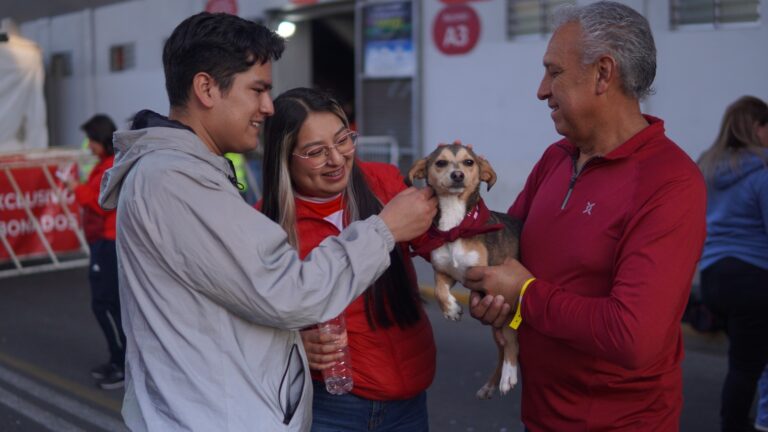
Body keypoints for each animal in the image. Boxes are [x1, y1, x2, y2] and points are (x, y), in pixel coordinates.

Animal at [408, 144, 520, 398]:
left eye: (469, 162)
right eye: (440, 163)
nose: (457, 175)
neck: (456, 227)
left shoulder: (495, 285)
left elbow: (511, 337)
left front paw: (510, 375)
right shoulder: (446, 272)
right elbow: (439, 291)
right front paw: (451, 310)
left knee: (507, 341)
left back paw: (506, 375)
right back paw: (489, 386)